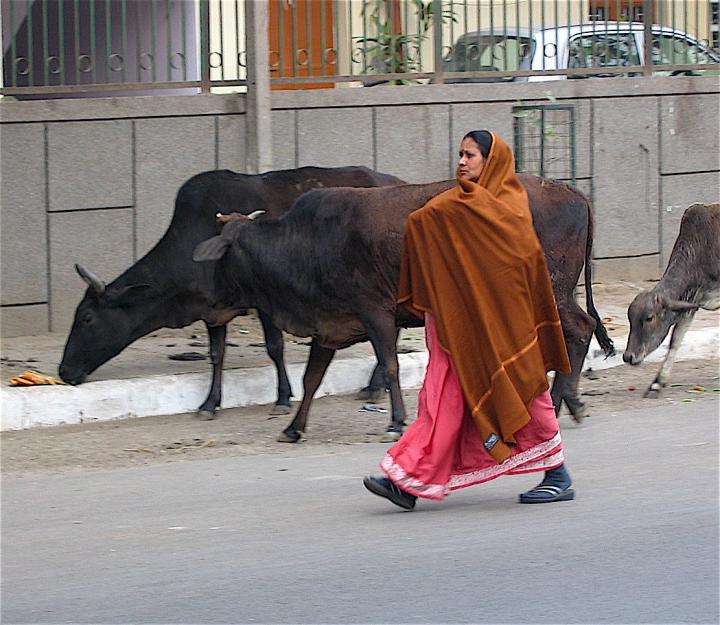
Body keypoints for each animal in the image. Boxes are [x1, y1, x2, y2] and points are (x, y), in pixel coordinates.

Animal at [58, 165, 402, 414]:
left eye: (87, 317)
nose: (64, 371)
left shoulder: (265, 303)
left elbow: (274, 346)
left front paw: (282, 397)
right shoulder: (213, 311)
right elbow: (216, 354)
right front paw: (210, 403)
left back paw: (375, 385)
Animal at [194, 173, 616, 442]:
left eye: (222, 257)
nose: (208, 308)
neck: (306, 245)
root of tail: (573, 193)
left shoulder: (377, 313)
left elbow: (390, 367)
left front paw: (397, 422)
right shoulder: (328, 327)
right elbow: (311, 379)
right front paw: (294, 428)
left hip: (551, 293)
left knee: (579, 330)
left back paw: (560, 403)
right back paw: (566, 402)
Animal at [620, 202, 716, 398]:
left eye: (649, 318)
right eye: (630, 318)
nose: (628, 356)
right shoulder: (690, 304)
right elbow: (675, 340)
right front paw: (656, 384)